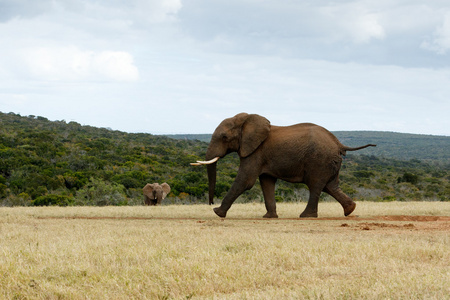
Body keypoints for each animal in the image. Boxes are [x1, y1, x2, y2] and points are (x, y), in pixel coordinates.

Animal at [191, 112, 376, 218]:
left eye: (224, 137)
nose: (211, 203)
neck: (247, 119)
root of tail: (339, 143)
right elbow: (266, 182)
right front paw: (269, 217)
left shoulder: (255, 152)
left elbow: (245, 181)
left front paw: (218, 213)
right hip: (330, 162)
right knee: (330, 186)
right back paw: (350, 210)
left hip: (319, 160)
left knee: (316, 185)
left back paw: (306, 216)